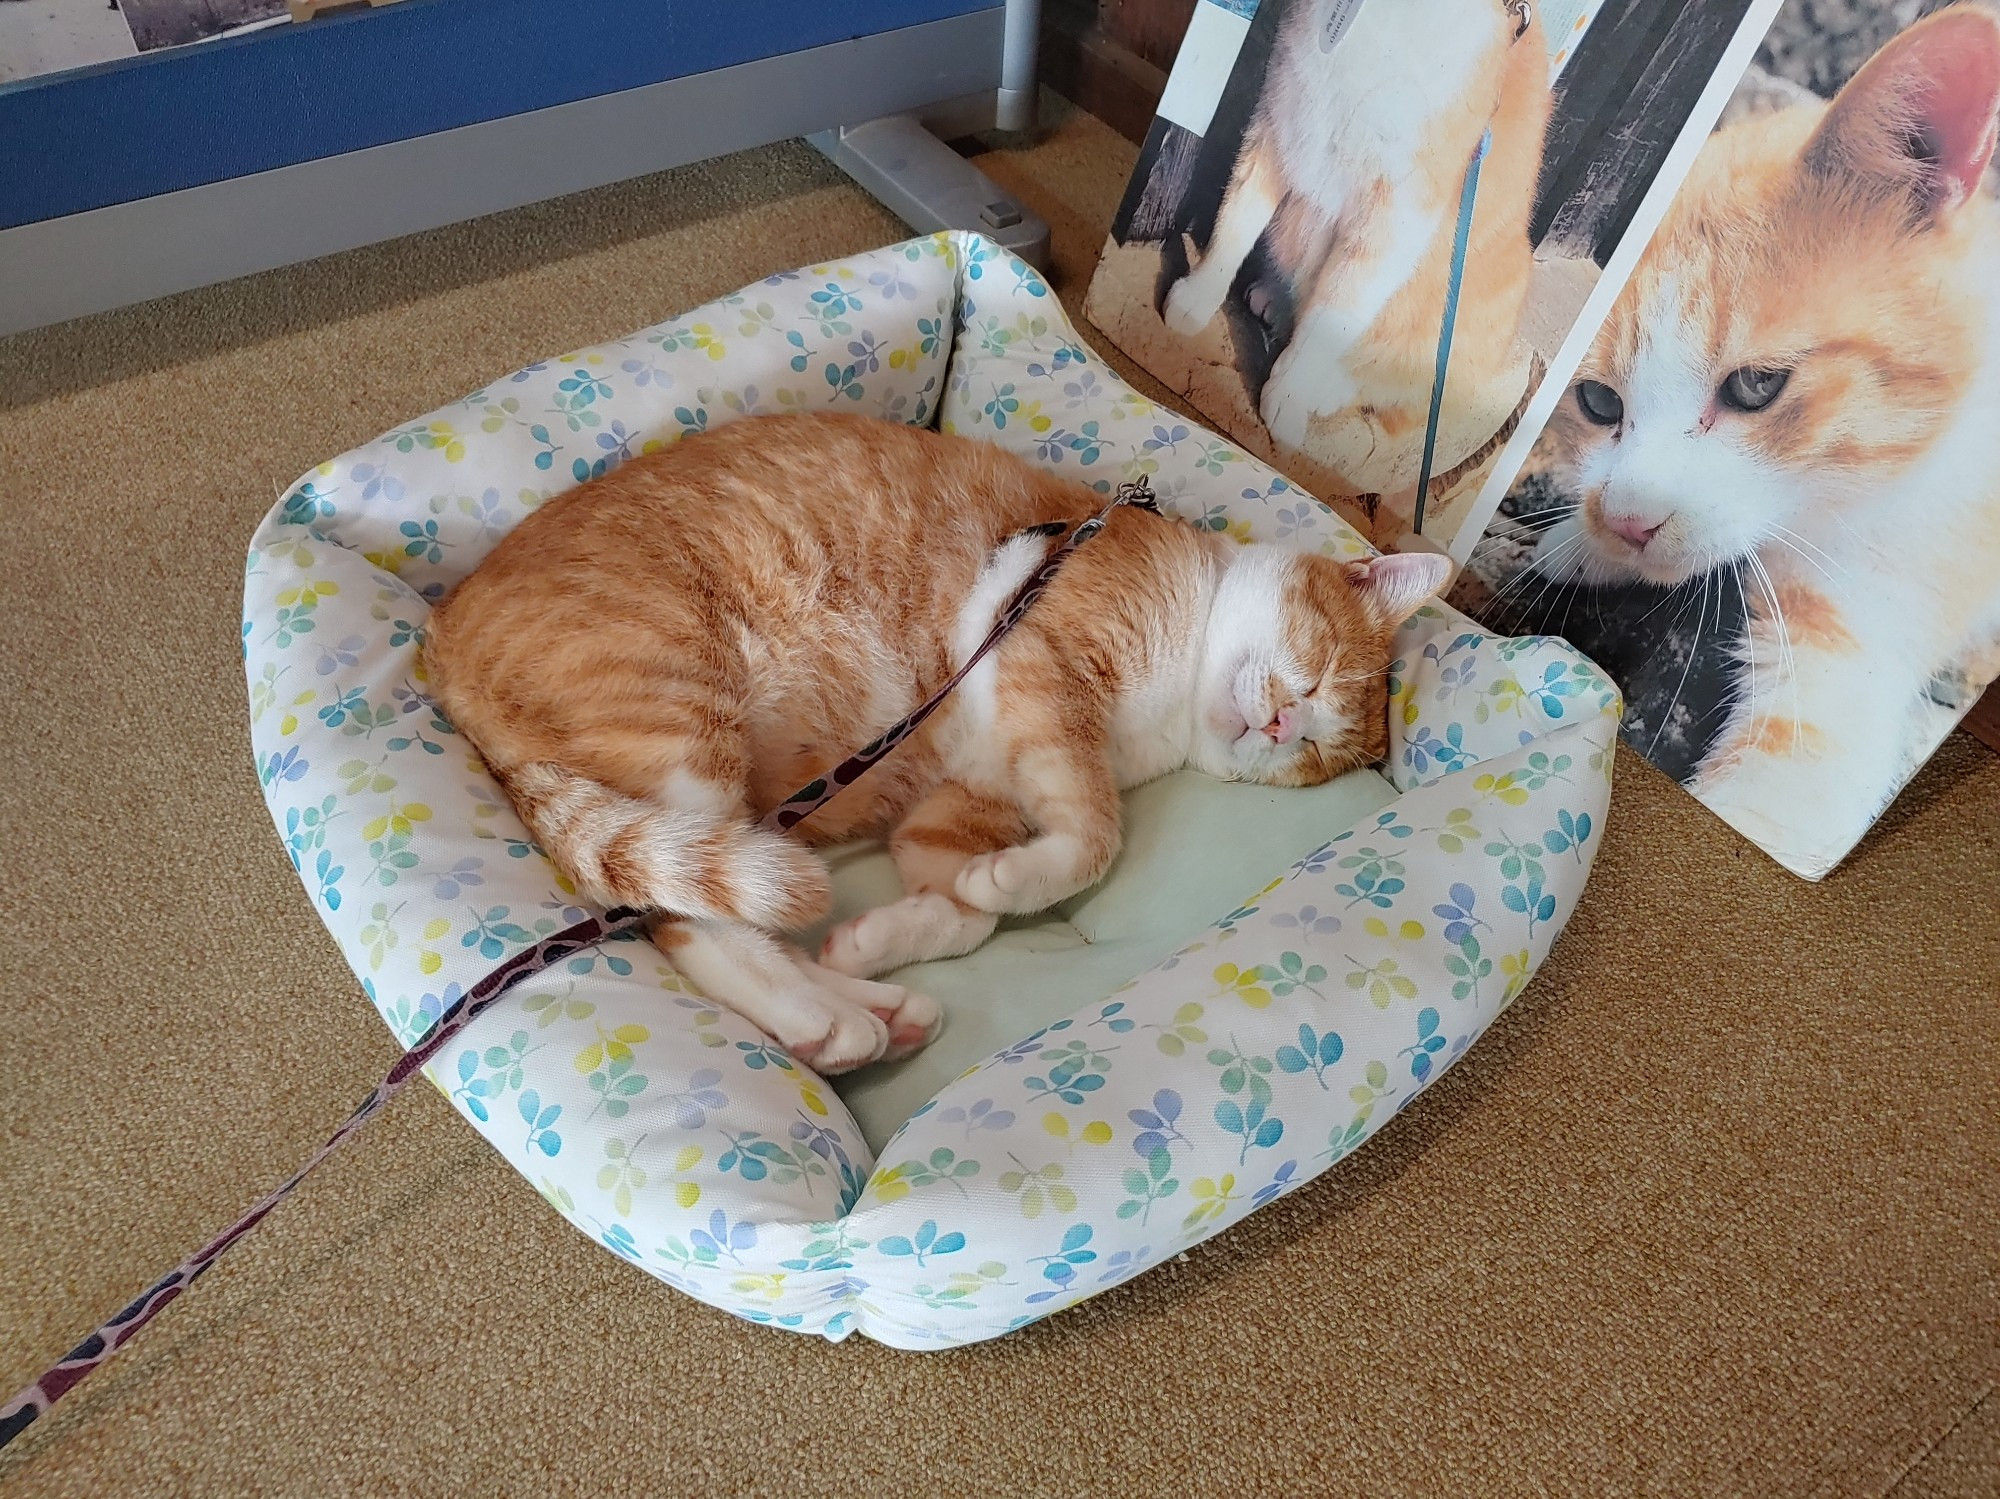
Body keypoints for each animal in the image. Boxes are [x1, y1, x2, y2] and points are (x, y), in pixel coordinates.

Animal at [426, 411, 1456, 1071]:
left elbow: (967, 910)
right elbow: (1091, 836)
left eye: (1315, 754)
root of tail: (442, 640)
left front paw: (895, 932)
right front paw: (1015, 880)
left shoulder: (962, 801)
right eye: (1322, 670)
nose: (1284, 724)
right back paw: (828, 1022)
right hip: (679, 724)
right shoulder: (1040, 655)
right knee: (683, 916)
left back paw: (867, 1005)